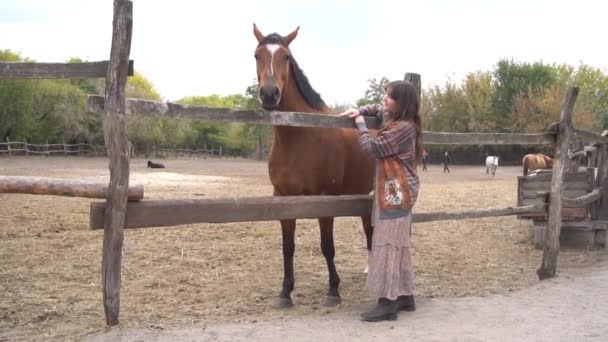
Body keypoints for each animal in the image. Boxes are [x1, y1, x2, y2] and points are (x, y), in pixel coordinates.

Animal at [252, 23, 376, 308]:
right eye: (256, 55)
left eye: (286, 56)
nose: (269, 94)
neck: (301, 135)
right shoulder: (283, 198)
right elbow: (287, 247)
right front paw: (285, 293)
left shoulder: (325, 199)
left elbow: (327, 246)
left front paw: (333, 291)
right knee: (369, 230)